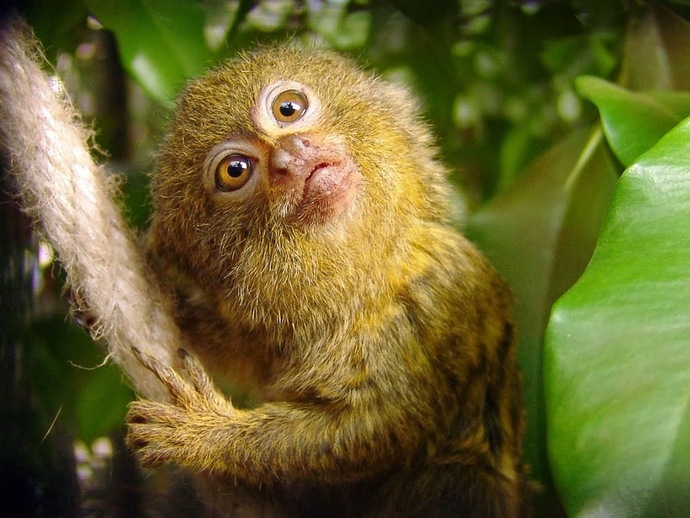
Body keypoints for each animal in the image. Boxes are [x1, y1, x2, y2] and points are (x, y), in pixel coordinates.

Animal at [123, 45, 527, 517]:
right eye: (235, 170)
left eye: (288, 109)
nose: (289, 156)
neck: (365, 288)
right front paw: (173, 301)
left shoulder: (446, 289)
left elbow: (374, 429)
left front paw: (206, 433)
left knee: (459, 478)